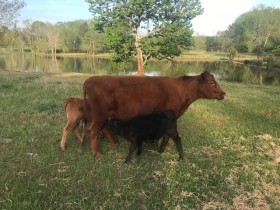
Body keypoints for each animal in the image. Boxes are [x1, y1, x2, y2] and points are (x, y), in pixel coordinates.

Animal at [83, 71, 225, 157]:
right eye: (212, 83)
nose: (223, 93)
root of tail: (93, 78)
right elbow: (168, 134)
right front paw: (167, 147)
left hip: (103, 115)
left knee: (103, 128)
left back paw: (113, 143)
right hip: (99, 114)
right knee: (93, 130)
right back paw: (96, 153)